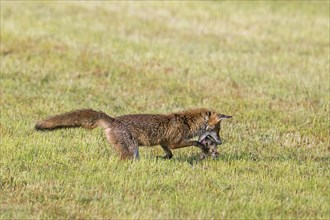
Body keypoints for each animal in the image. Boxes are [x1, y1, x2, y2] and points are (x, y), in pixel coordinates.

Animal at [35, 108, 232, 159]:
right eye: (217, 130)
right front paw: (204, 150)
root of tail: (113, 120)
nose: (220, 143)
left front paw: (163, 158)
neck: (186, 121)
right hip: (132, 151)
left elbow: (168, 154)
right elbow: (195, 143)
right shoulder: (175, 141)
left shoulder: (164, 142)